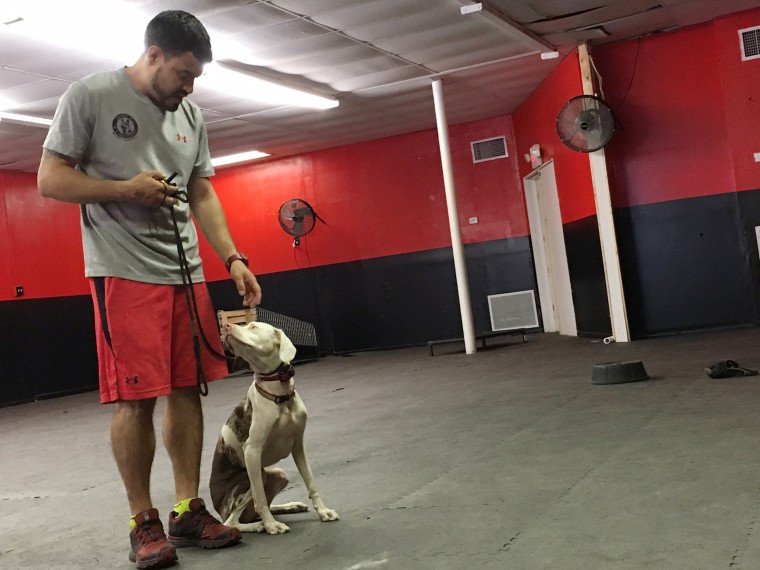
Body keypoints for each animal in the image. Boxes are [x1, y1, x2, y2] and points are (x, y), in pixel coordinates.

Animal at [209, 320, 336, 532]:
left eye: (253, 326)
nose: (225, 326)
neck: (280, 395)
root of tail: (218, 509)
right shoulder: (252, 452)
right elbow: (260, 499)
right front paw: (271, 525)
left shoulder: (298, 445)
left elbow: (311, 482)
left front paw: (324, 511)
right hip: (252, 478)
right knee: (233, 522)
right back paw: (260, 525)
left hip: (279, 474)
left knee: (257, 510)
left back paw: (290, 507)